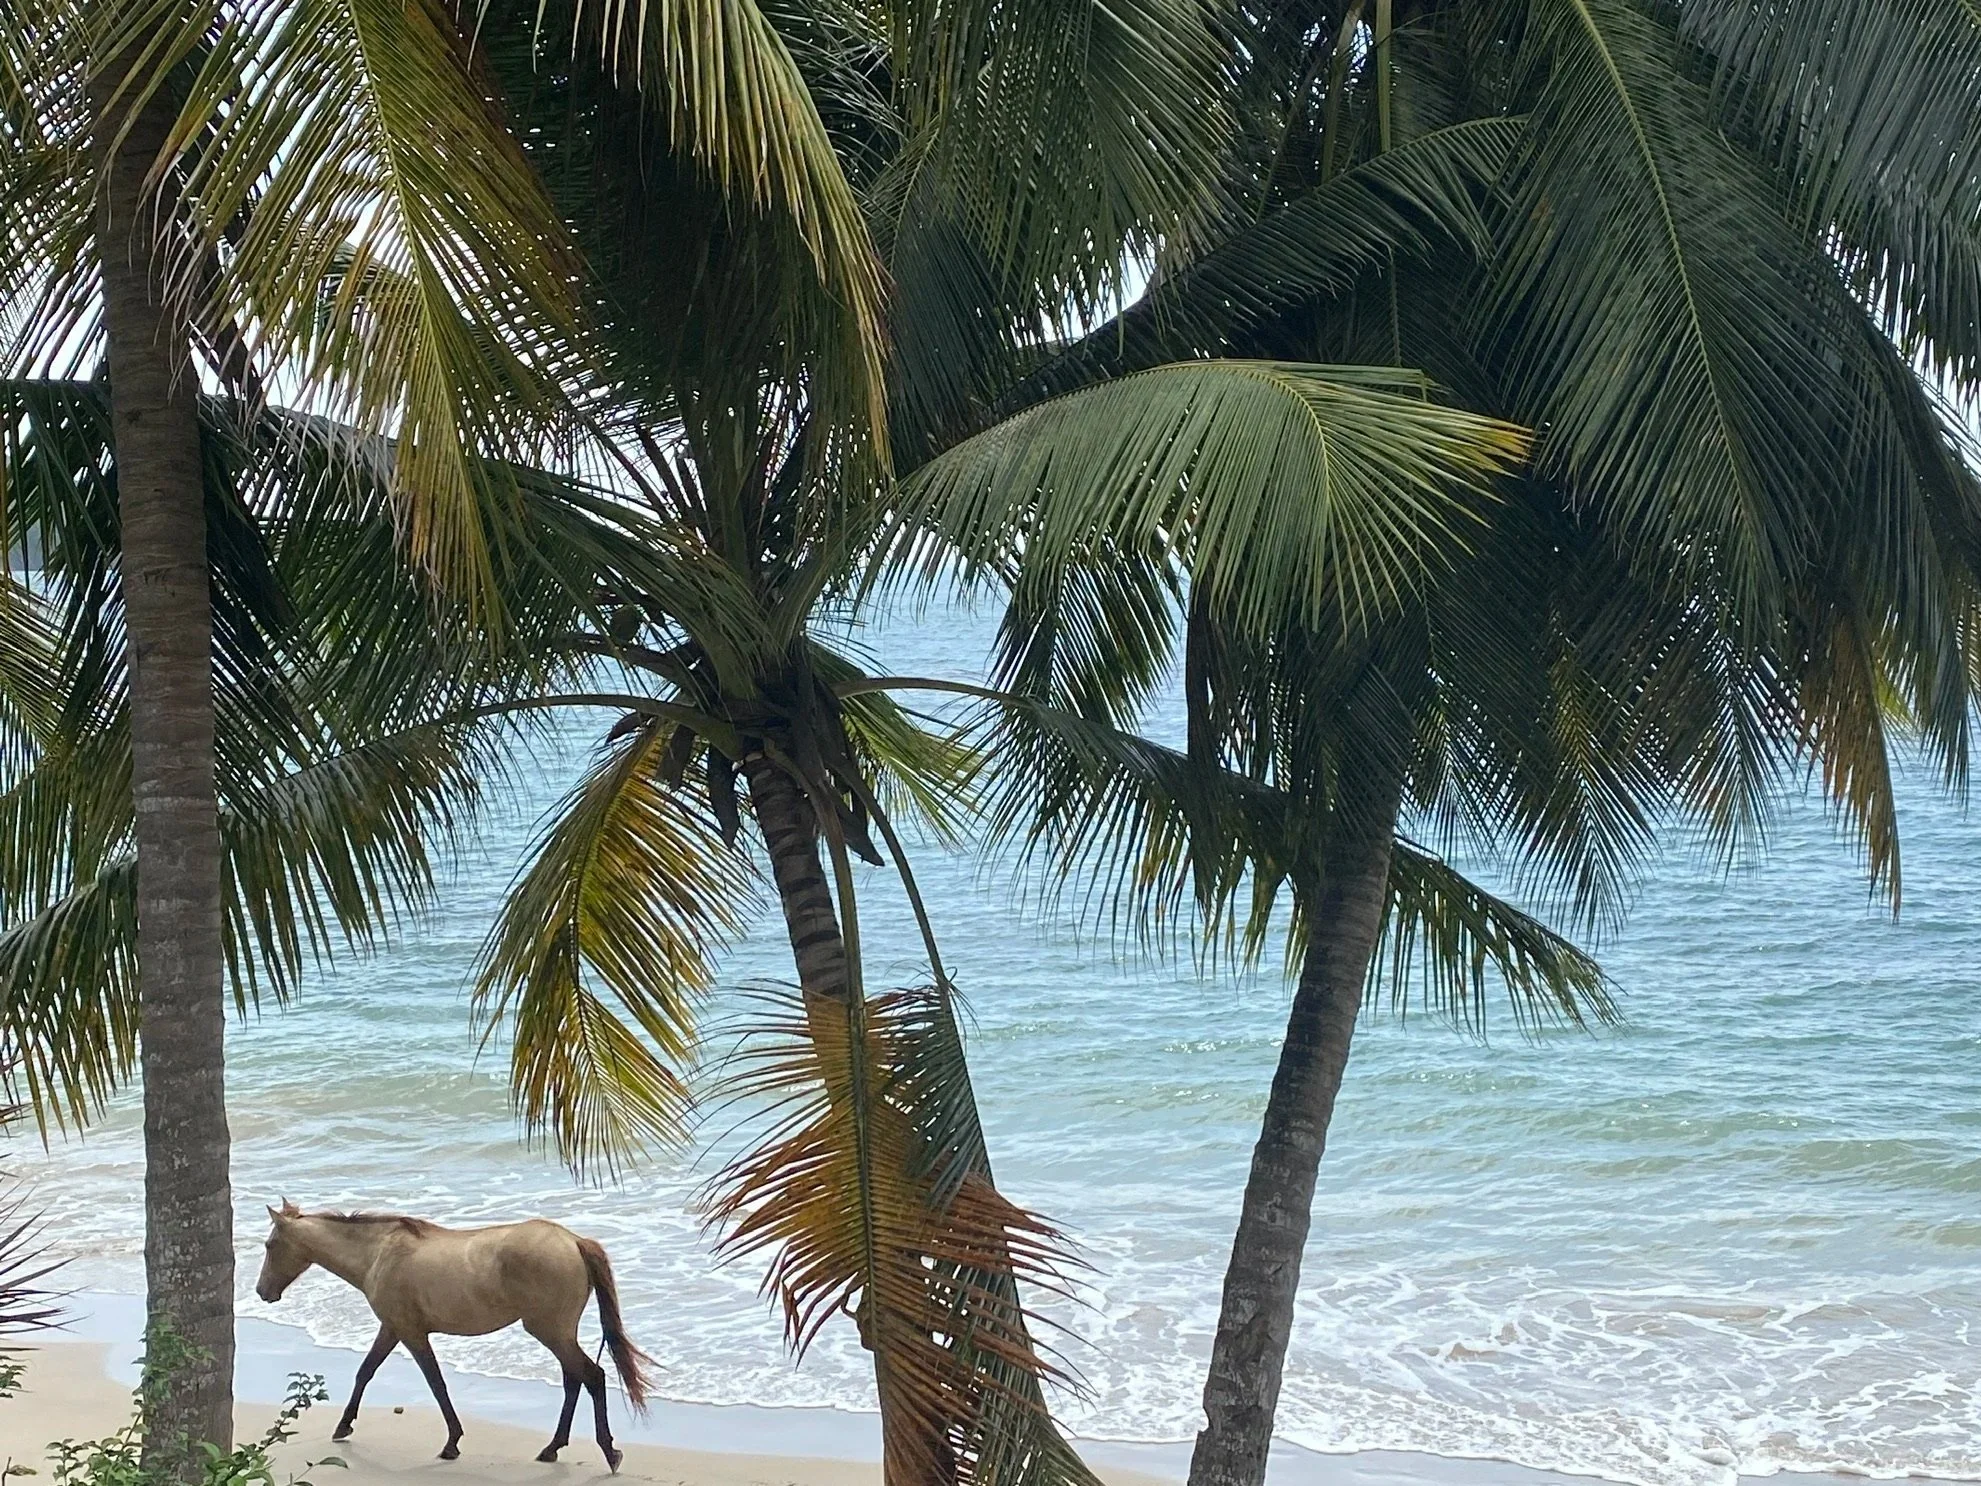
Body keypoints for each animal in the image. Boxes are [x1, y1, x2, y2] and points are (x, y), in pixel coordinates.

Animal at [255, 1199, 654, 1470]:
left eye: (270, 1245)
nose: (262, 1291)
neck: (378, 1253)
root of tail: (574, 1241)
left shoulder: (411, 1333)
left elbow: (436, 1384)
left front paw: (452, 1443)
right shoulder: (392, 1329)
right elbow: (365, 1372)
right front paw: (343, 1426)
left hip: (550, 1331)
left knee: (592, 1376)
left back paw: (609, 1452)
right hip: (558, 1333)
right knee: (575, 1380)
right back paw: (552, 1449)